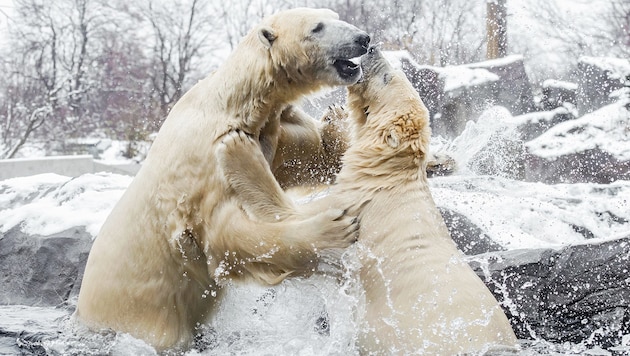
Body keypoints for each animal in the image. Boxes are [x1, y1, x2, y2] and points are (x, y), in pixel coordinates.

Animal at [74, 7, 370, 350]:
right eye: (317, 28)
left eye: (333, 15)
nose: (363, 38)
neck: (229, 104)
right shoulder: (203, 169)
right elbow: (229, 233)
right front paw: (331, 230)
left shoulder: (268, 128)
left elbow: (302, 153)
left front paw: (338, 122)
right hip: (140, 316)